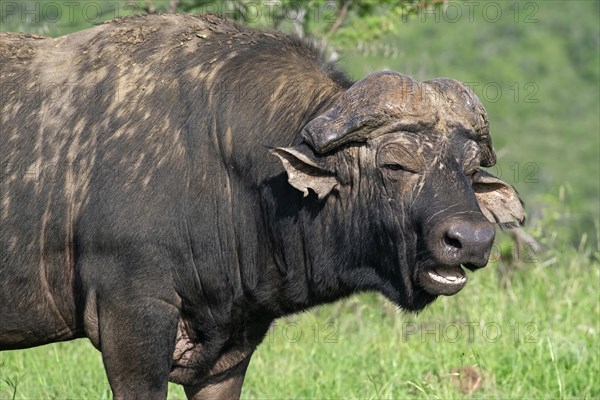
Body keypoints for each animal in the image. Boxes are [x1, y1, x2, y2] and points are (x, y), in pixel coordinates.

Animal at [0, 13, 524, 400]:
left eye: (469, 169)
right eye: (395, 163)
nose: (471, 239)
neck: (220, 168)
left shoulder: (228, 352)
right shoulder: (131, 321)